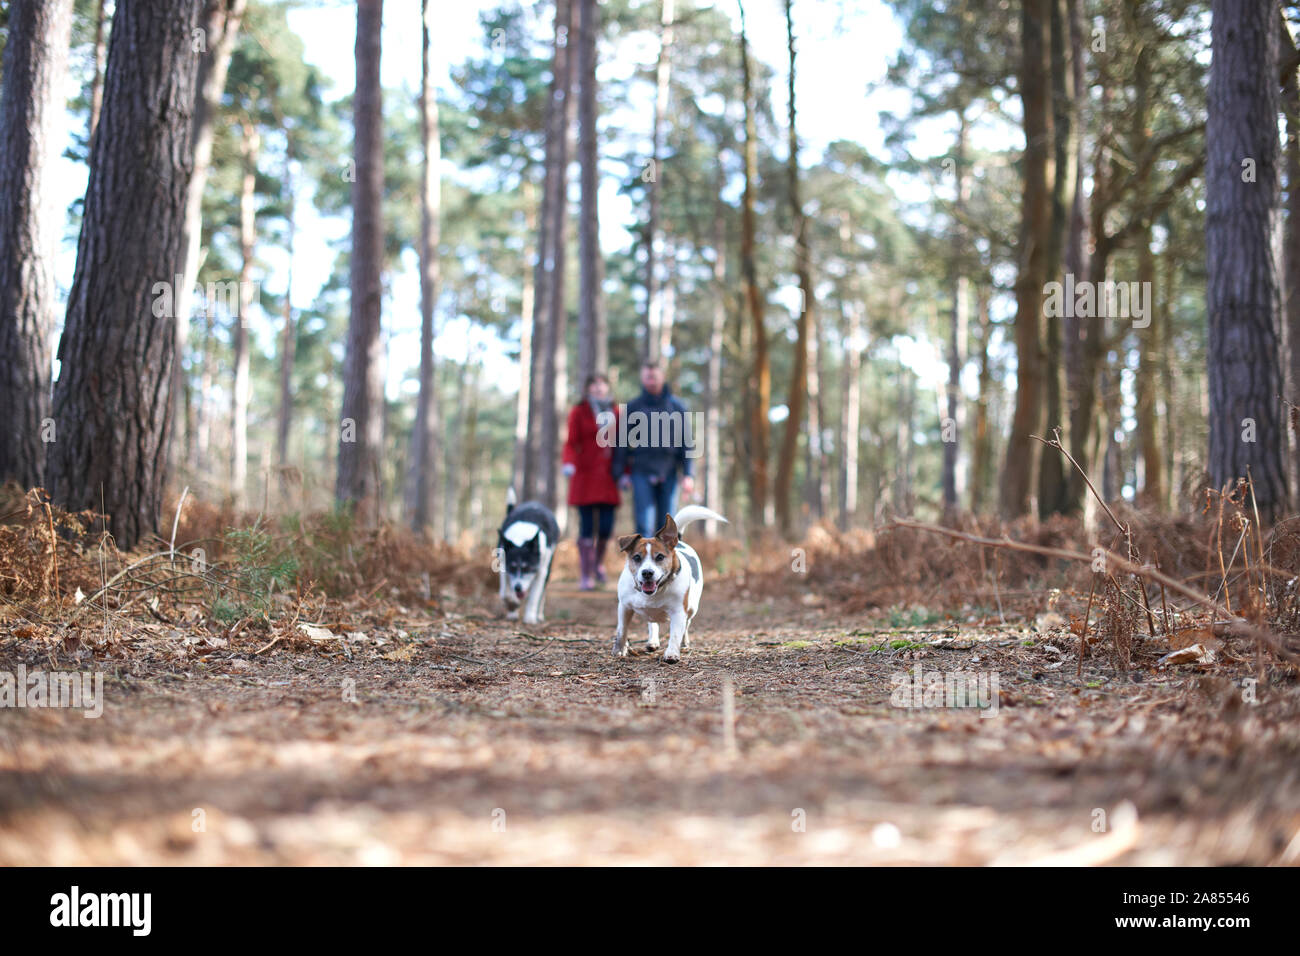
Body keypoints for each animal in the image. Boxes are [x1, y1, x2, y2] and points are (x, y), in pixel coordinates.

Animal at [496, 489, 559, 624]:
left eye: (527, 568)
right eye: (512, 567)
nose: (518, 588)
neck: (521, 538)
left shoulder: (540, 572)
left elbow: (534, 597)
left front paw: (530, 617)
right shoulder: (503, 565)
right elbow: (505, 593)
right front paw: (512, 605)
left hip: (548, 568)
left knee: (542, 593)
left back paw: (539, 615)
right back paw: (512, 613)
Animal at [613, 502, 728, 665]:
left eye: (660, 557)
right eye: (636, 557)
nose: (647, 572)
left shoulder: (679, 612)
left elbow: (675, 634)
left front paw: (672, 653)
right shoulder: (624, 607)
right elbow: (622, 630)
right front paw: (619, 650)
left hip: (692, 608)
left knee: (686, 626)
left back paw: (684, 643)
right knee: (652, 624)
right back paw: (652, 641)